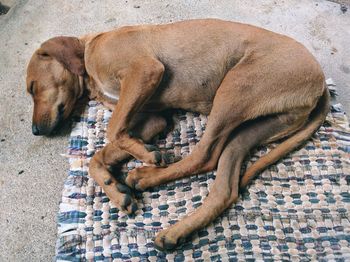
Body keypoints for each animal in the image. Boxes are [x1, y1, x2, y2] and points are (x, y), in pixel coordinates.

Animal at [26, 18, 330, 250]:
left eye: (32, 87)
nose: (35, 131)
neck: (90, 50)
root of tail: (321, 81)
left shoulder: (144, 71)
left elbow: (113, 130)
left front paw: (147, 156)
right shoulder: (152, 119)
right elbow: (100, 153)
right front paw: (114, 188)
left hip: (235, 88)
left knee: (204, 155)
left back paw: (146, 176)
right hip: (250, 128)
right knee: (224, 187)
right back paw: (176, 232)